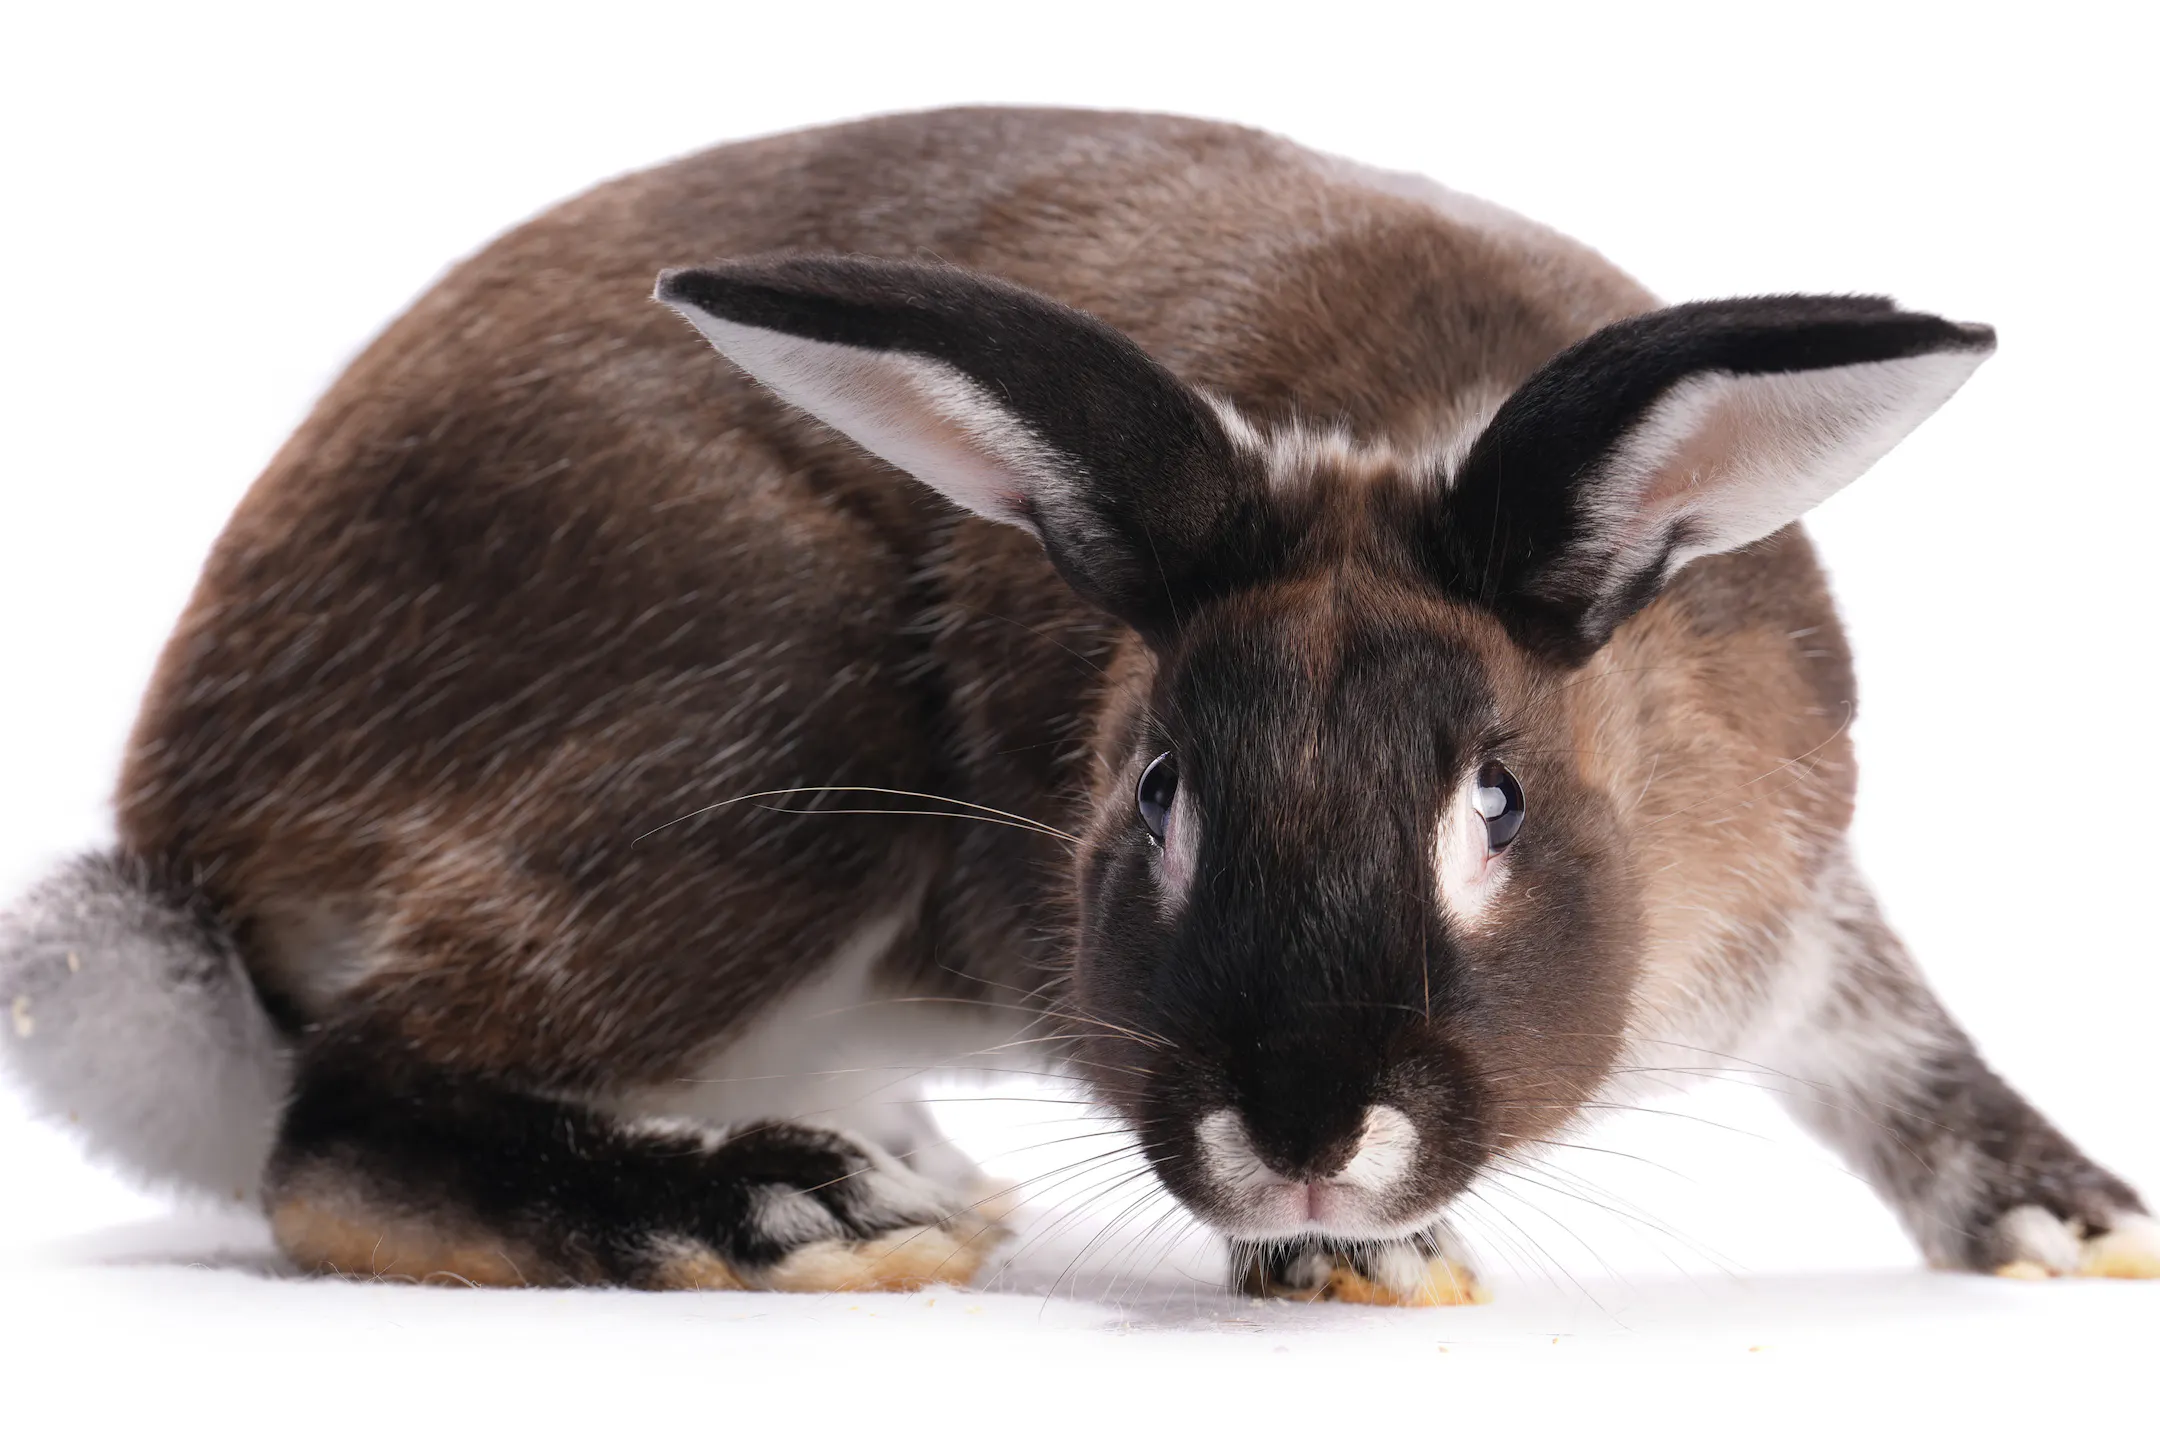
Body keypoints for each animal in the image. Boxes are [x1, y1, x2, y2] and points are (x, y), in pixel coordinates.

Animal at [3, 105, 2153, 1302]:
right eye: (1152, 796)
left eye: (1500, 801)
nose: (1305, 1138)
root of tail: (191, 829)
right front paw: (1356, 1262)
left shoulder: (1804, 926)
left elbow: (1905, 1048)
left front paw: (2078, 1233)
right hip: (769, 736)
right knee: (335, 1126)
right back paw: (796, 1216)